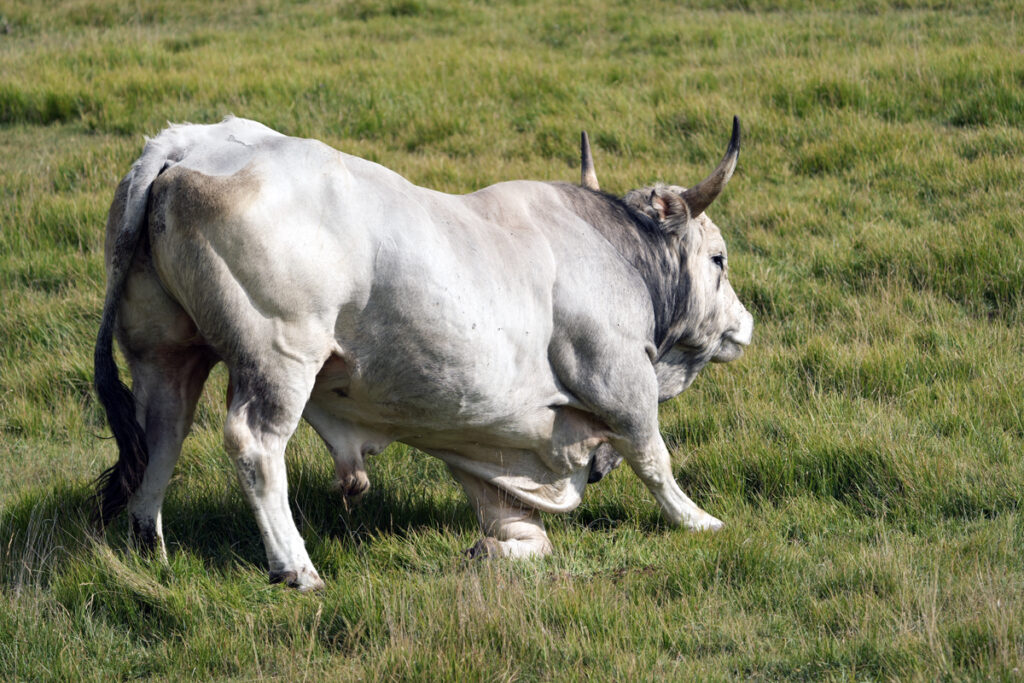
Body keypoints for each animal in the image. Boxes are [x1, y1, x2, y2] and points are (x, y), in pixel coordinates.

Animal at [94, 114, 753, 589]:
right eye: (718, 259)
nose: (744, 324)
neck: (619, 252)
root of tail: (187, 146)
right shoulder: (621, 380)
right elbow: (654, 458)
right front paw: (698, 520)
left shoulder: (485, 435)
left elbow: (518, 522)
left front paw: (497, 549)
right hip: (279, 360)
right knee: (255, 445)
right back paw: (296, 568)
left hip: (165, 352)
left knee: (163, 434)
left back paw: (148, 546)